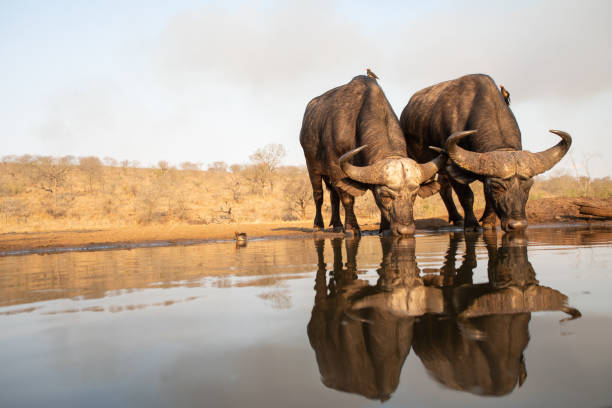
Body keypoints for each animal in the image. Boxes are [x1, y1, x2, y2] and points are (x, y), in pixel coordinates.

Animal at [400, 74, 572, 231]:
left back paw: (457, 219)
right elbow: (467, 196)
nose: (517, 225)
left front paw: (488, 222)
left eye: (528, 186)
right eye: (496, 187)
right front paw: (472, 224)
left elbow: (488, 200)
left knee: (443, 187)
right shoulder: (452, 165)